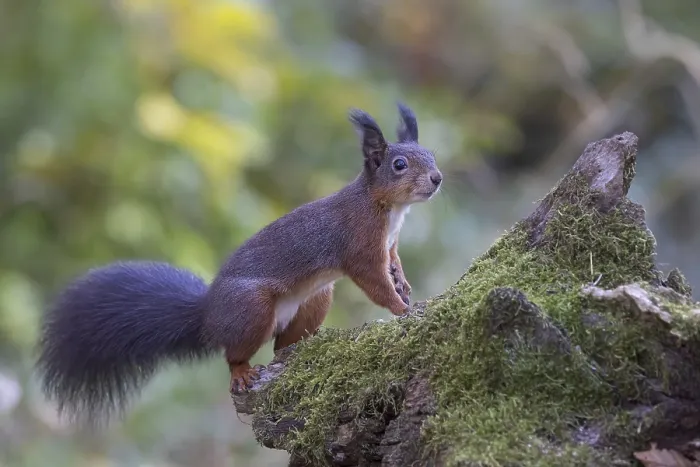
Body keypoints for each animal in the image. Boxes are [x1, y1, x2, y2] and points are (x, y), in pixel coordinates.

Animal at [36, 102, 442, 424]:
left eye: (432, 154)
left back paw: (301, 347)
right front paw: (402, 308)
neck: (389, 210)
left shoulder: (389, 244)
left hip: (314, 299)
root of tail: (208, 315)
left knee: (281, 347)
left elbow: (393, 263)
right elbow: (373, 281)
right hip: (250, 308)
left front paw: (404, 285)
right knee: (234, 353)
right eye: (399, 164)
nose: (437, 179)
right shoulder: (358, 245)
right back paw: (242, 372)